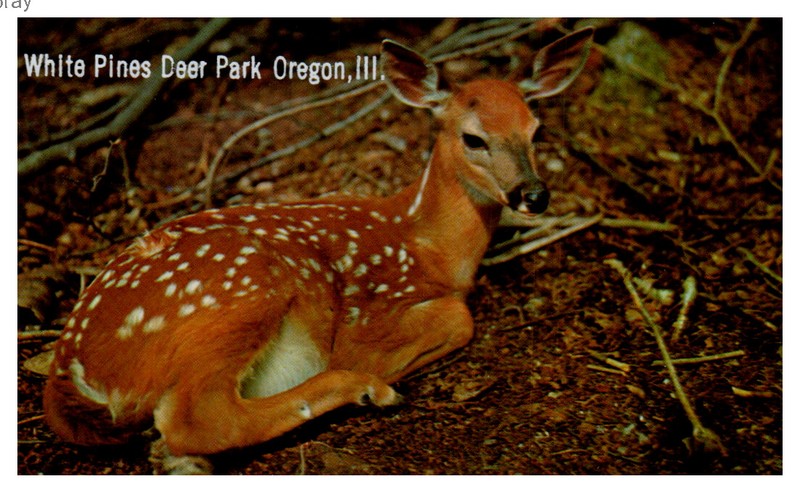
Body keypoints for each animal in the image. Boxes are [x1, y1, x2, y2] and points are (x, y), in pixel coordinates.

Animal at [44, 28, 594, 474]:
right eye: (474, 138)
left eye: (536, 130)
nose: (533, 194)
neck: (428, 243)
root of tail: (68, 368)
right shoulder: (367, 317)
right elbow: (459, 317)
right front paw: (387, 368)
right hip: (243, 288)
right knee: (199, 420)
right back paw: (366, 389)